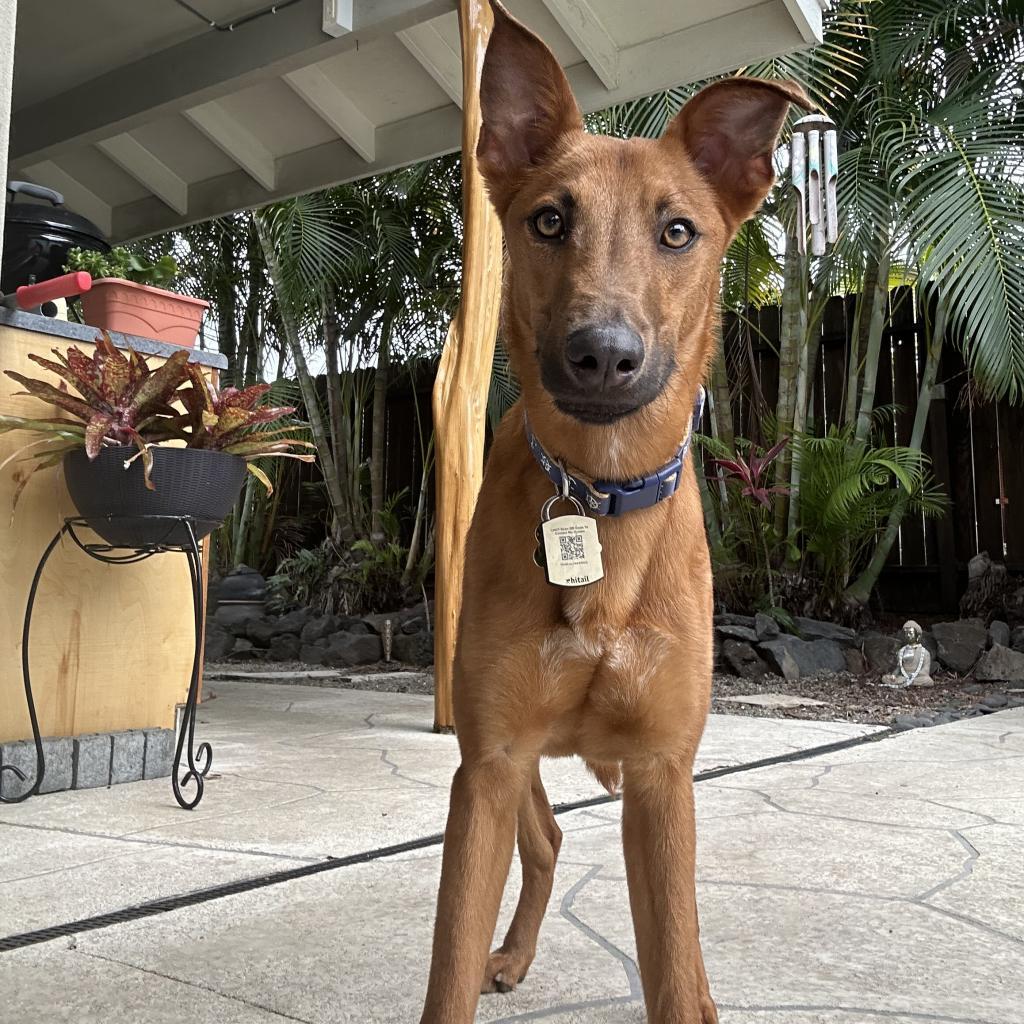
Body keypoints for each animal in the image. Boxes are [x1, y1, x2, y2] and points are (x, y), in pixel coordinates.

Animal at [419, 4, 811, 1019]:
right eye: (549, 219)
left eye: (678, 232)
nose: (602, 354)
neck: (600, 499)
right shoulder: (488, 761)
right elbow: (448, 971)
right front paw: (480, 964)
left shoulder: (662, 774)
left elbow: (672, 963)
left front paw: (691, 991)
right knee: (547, 839)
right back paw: (511, 954)